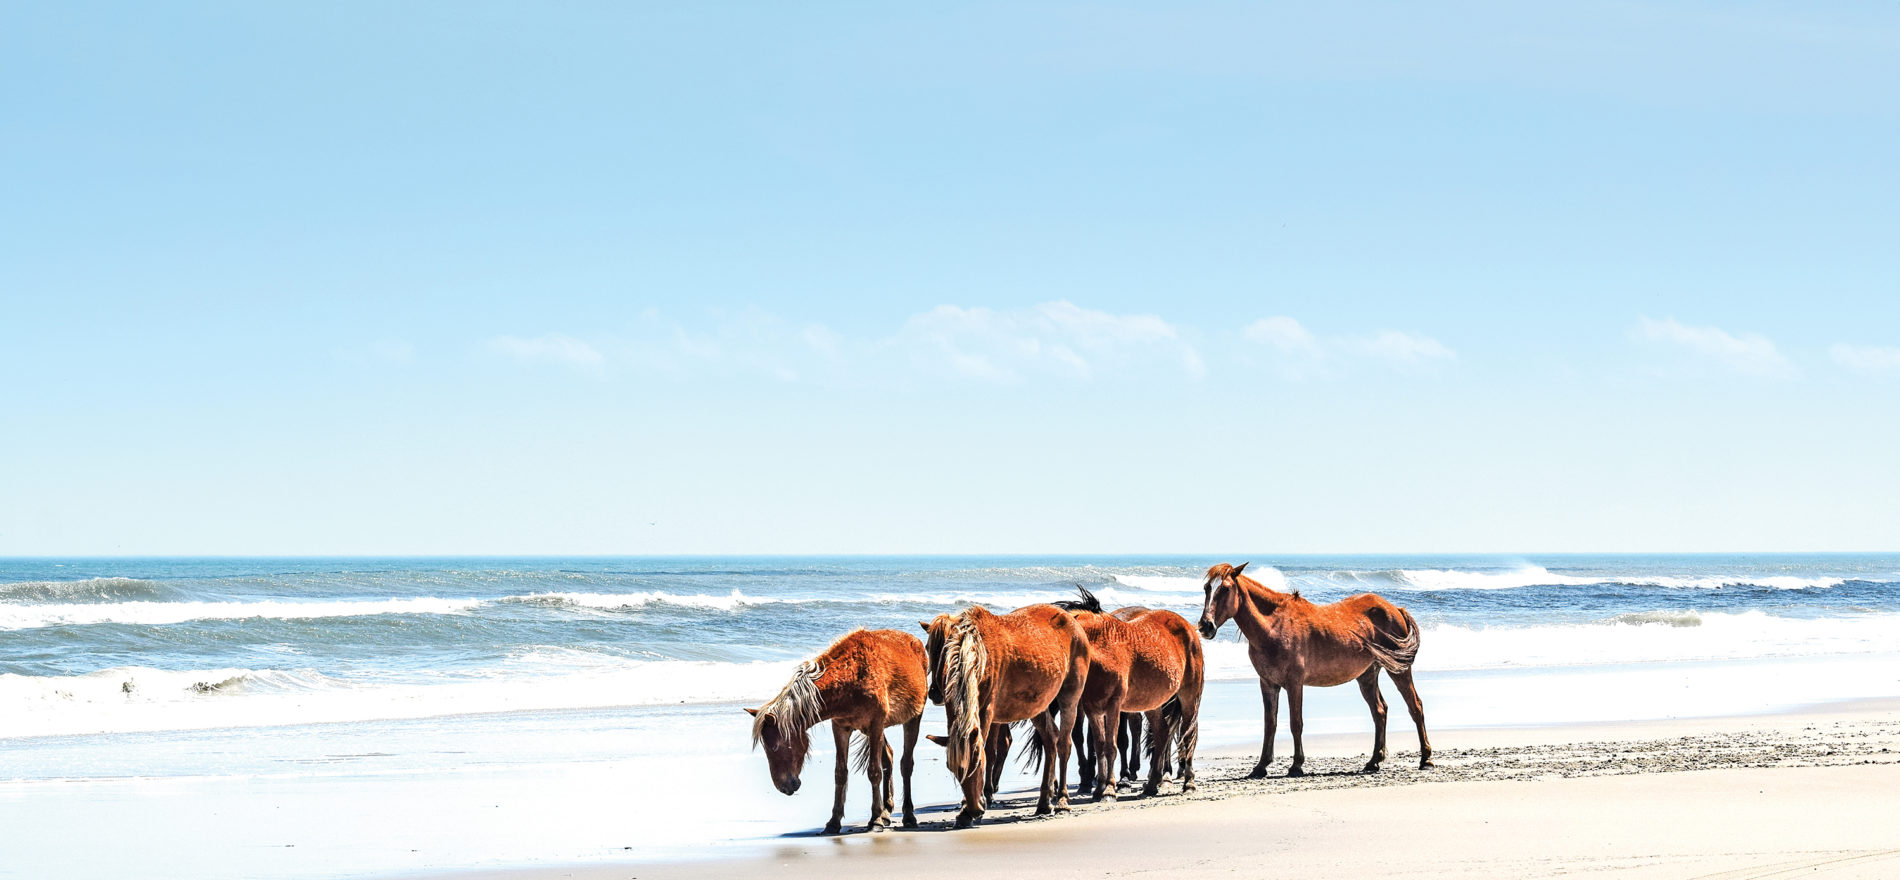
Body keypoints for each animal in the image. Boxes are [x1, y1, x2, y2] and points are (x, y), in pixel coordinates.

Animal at [744, 631, 923, 828]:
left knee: (906, 765)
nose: (784, 787)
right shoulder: (840, 728)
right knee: (888, 758)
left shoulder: (876, 724)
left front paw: (875, 818)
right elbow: (840, 773)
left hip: (912, 719)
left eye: (775, 746)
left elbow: (874, 772)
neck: (852, 676)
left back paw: (908, 815)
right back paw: (887, 811)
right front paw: (834, 821)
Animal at [1056, 589, 1200, 802]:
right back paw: (1152, 784)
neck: (1103, 652)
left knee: (1188, 734)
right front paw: (1100, 788)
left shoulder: (1114, 707)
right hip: (1152, 703)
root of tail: (1187, 626)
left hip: (1190, 696)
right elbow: (1099, 746)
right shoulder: (1093, 709)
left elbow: (1111, 746)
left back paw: (1188, 783)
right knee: (1162, 732)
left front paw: (1109, 790)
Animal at [1193, 566, 1428, 779]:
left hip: (1399, 669)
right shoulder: (1268, 684)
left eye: (1225, 589)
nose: (1206, 626)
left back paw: (1426, 758)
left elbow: (1296, 723)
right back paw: (1374, 761)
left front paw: (1296, 765)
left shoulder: (1294, 683)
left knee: (1415, 706)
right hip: (1367, 676)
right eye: (1206, 588)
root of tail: (1395, 608)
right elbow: (1270, 724)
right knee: (1379, 711)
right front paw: (1261, 766)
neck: (1274, 626)